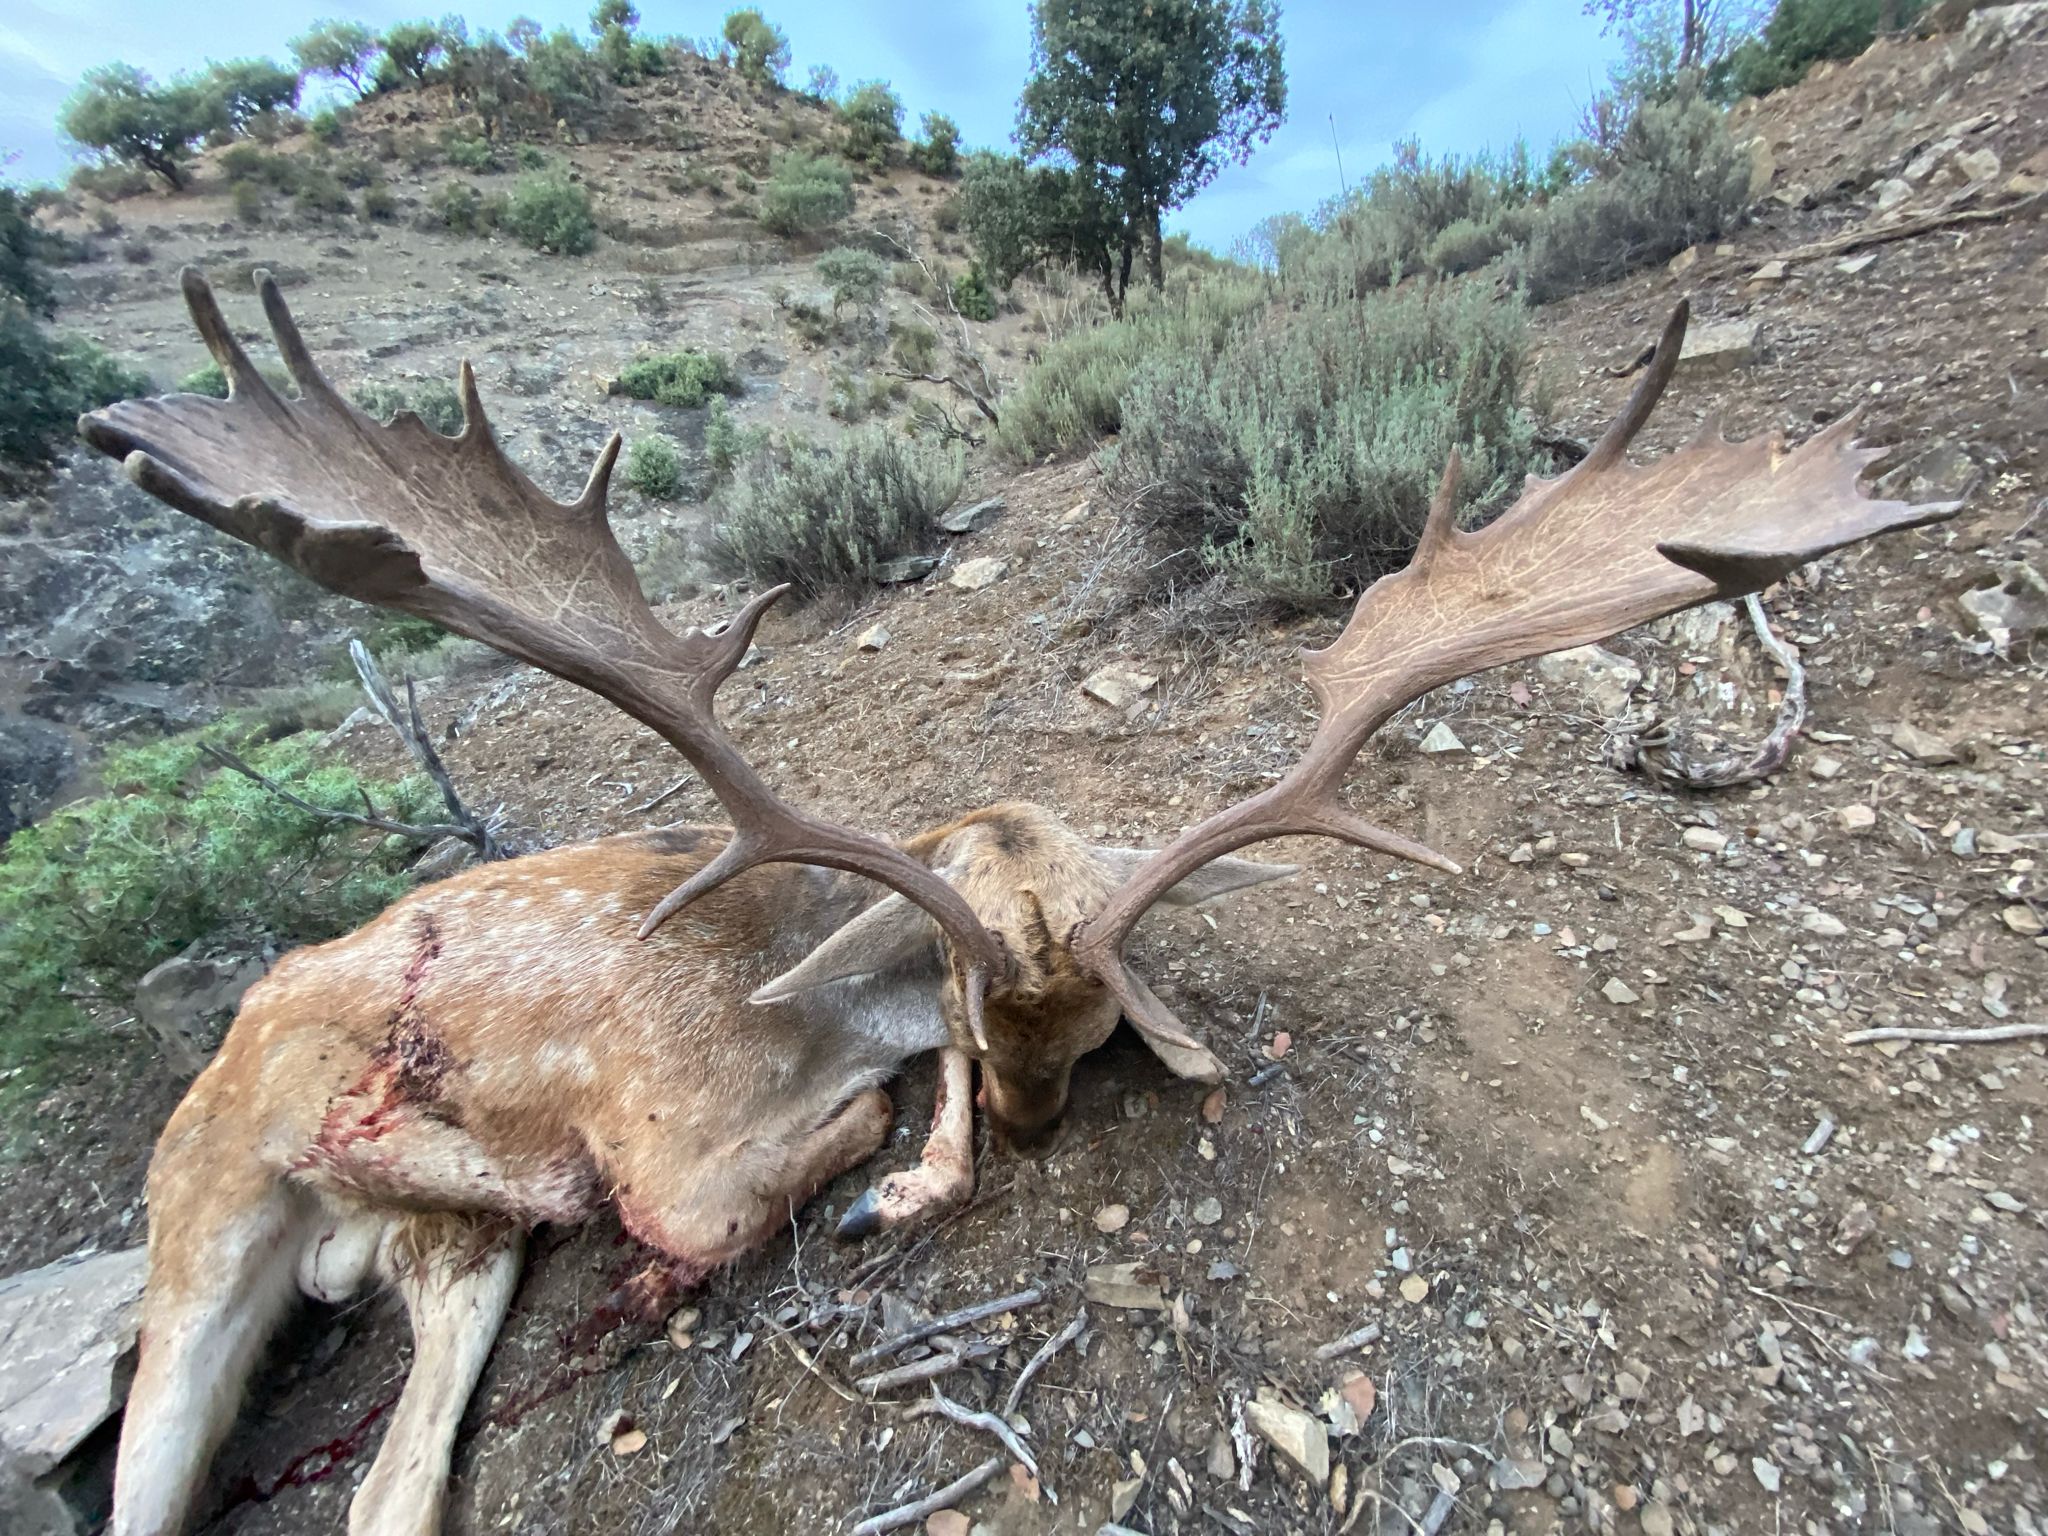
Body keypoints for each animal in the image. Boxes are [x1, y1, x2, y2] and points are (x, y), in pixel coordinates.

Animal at [77, 268, 1956, 1536]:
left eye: (1104, 1024)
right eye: (990, 1012)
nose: (1048, 1124)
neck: (805, 1008)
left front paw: (908, 1167)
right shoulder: (664, 1135)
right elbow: (732, 1190)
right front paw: (878, 1173)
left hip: (441, 1267)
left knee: (387, 1485)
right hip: (205, 1227)